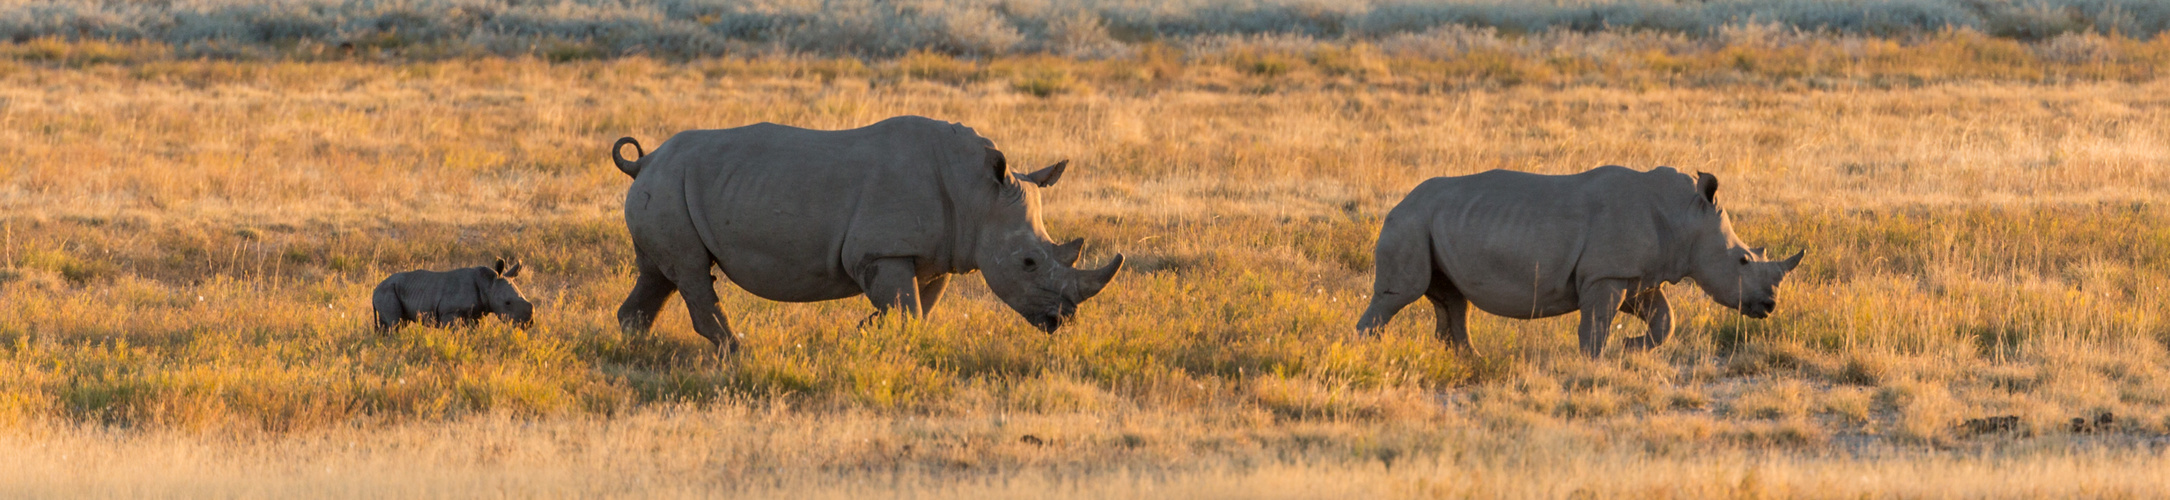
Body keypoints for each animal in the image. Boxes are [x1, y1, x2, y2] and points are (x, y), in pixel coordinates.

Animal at [368, 257, 529, 332]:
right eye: (507, 303)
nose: (529, 322)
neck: (488, 284)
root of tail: (374, 290)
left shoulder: (476, 314)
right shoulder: (450, 312)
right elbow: (454, 332)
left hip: (389, 291)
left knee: (393, 323)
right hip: (386, 291)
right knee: (394, 323)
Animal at [607, 115, 1119, 354]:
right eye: (1028, 263)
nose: (1062, 319)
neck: (977, 195)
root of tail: (645, 161)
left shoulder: (936, 255)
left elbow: (918, 308)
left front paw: (868, 331)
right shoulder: (882, 252)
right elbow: (908, 310)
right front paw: (884, 339)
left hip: (666, 188)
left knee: (659, 274)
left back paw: (635, 348)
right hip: (669, 186)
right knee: (691, 271)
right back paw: (738, 352)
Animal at [1354, 166, 1796, 356]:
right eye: (1743, 260)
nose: (1770, 306)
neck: (1686, 215)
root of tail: (1399, 203)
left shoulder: (1635, 275)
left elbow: (1663, 319)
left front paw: (1632, 347)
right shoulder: (1605, 275)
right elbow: (1596, 324)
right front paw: (1594, 361)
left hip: (1433, 223)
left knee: (1451, 299)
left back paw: (1469, 361)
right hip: (1411, 223)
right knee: (1400, 294)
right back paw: (1369, 354)